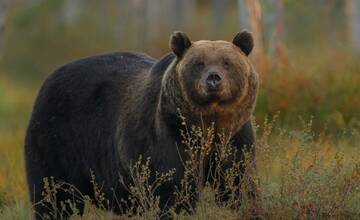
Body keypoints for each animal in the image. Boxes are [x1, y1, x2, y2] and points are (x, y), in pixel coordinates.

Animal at [24, 30, 256, 219]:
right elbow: (171, 187)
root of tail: (48, 78)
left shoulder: (235, 136)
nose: (214, 78)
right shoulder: (167, 134)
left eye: (227, 62)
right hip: (58, 139)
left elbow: (237, 181)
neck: (208, 124)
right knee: (53, 194)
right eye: (199, 63)